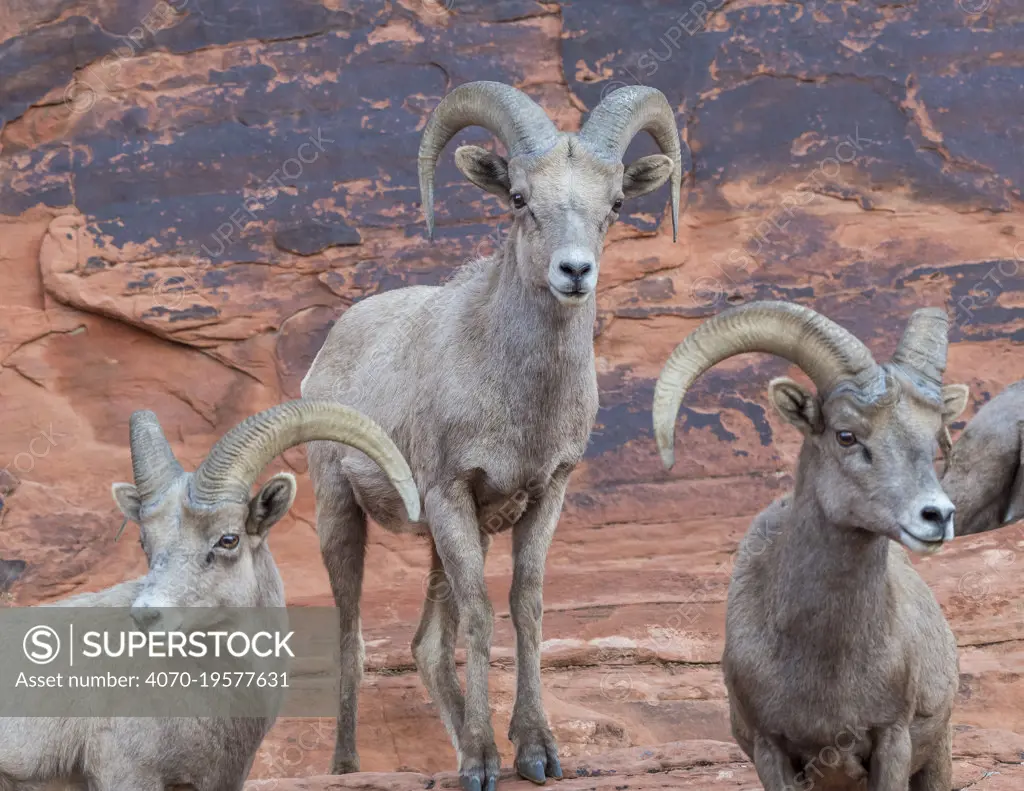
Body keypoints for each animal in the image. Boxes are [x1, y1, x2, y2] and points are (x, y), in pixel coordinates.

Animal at [299, 77, 684, 786]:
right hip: (340, 514)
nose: (574, 272)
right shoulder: (453, 497)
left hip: (440, 540)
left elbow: (524, 607)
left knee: (426, 647)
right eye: (519, 199)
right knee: (350, 641)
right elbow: (480, 612)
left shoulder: (542, 497)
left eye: (615, 204)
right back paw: (346, 765)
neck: (519, 400)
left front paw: (534, 752)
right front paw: (481, 762)